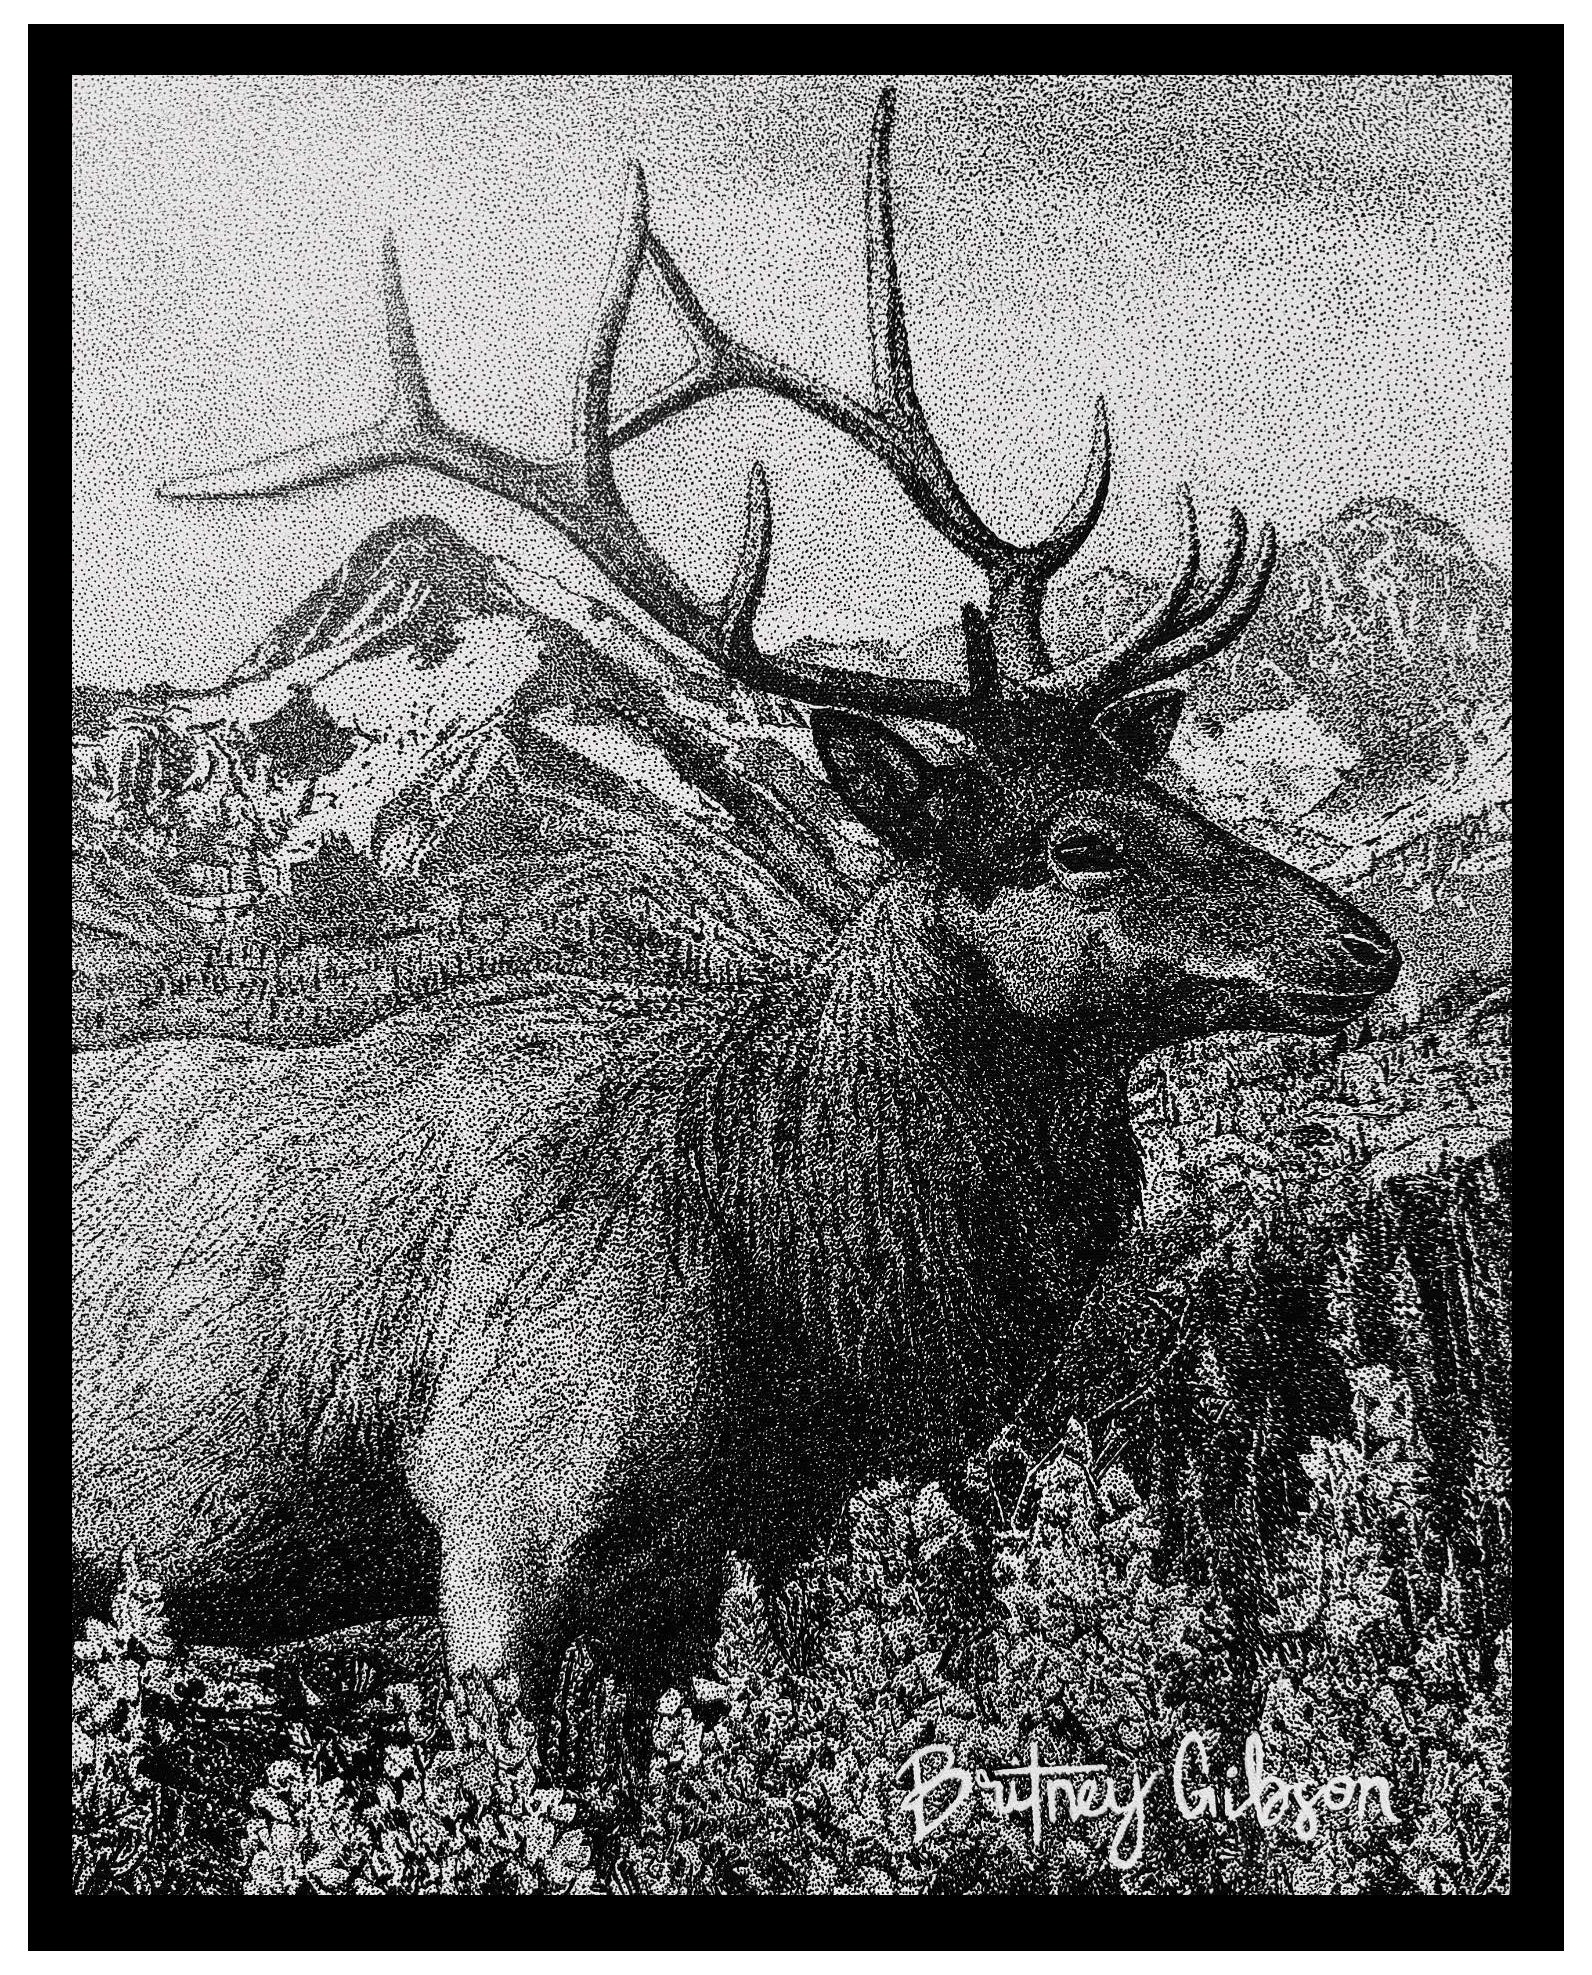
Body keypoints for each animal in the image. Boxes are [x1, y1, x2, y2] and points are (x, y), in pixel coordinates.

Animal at [73, 90, 1399, 1709]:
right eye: (1079, 840)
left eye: (1177, 795)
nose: (1363, 942)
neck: (803, 1295)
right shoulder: (501, 1521)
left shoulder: (710, 1568)